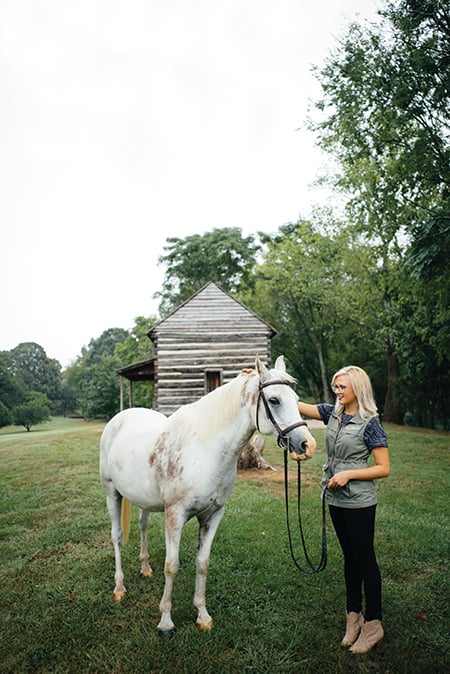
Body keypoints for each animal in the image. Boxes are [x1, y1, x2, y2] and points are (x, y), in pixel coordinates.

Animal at [100, 354, 314, 632]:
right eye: (275, 400)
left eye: (297, 400)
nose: (307, 445)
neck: (205, 450)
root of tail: (119, 418)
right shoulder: (175, 515)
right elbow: (172, 566)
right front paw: (166, 621)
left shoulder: (213, 515)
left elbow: (202, 564)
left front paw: (202, 615)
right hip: (111, 493)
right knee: (116, 537)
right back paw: (119, 588)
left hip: (144, 500)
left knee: (142, 525)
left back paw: (145, 569)